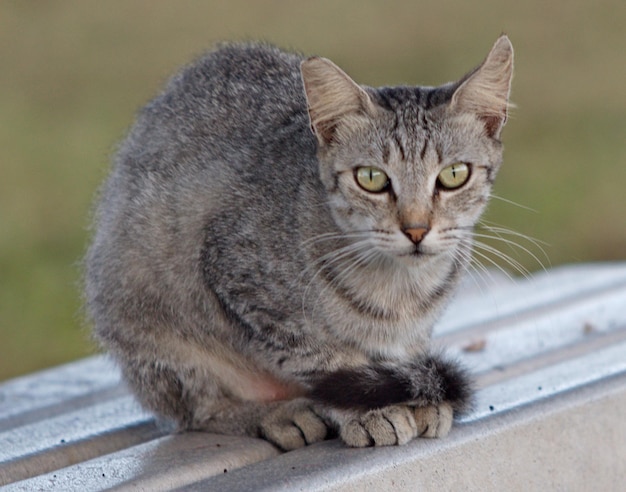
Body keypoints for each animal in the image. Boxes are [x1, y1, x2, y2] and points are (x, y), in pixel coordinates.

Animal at [84, 34, 512, 450]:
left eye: (454, 174)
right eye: (371, 178)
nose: (416, 229)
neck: (400, 290)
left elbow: (399, 358)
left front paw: (415, 396)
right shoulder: (242, 279)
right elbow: (328, 362)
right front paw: (369, 410)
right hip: (149, 322)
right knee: (199, 411)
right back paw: (274, 413)